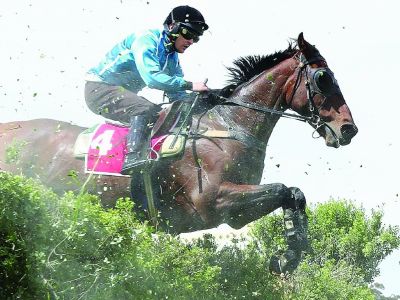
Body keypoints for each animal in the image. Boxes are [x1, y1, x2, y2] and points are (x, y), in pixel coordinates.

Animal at [0, 33, 356, 274]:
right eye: (323, 78)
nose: (348, 129)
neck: (227, 126)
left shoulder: (236, 215)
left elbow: (293, 193)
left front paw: (289, 254)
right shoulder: (213, 202)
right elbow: (285, 189)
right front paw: (287, 255)